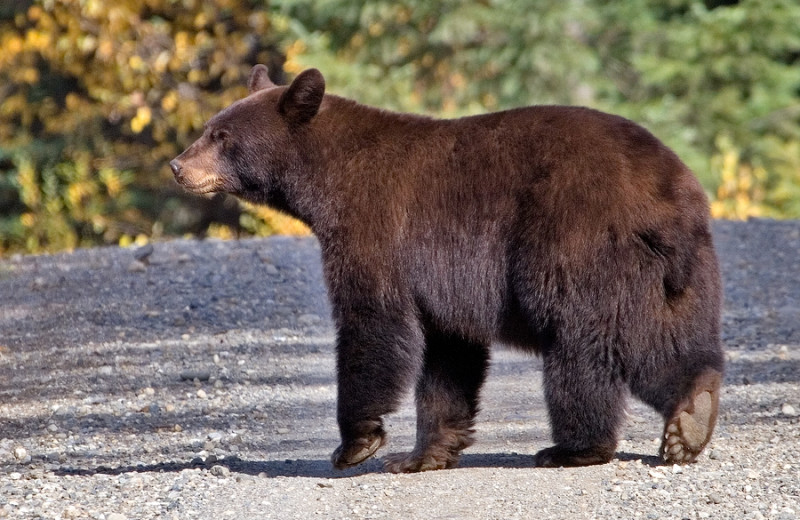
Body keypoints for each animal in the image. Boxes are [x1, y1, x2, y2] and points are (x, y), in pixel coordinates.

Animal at [170, 64, 724, 472]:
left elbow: (372, 324)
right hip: (679, 273)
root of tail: (668, 192)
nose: (178, 165)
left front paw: (356, 444)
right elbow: (448, 356)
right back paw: (692, 416)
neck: (325, 181)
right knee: (667, 337)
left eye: (221, 135)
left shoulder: (376, 230)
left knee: (585, 344)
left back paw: (574, 447)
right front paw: (422, 454)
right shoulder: (444, 281)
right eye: (208, 129)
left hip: (577, 246)